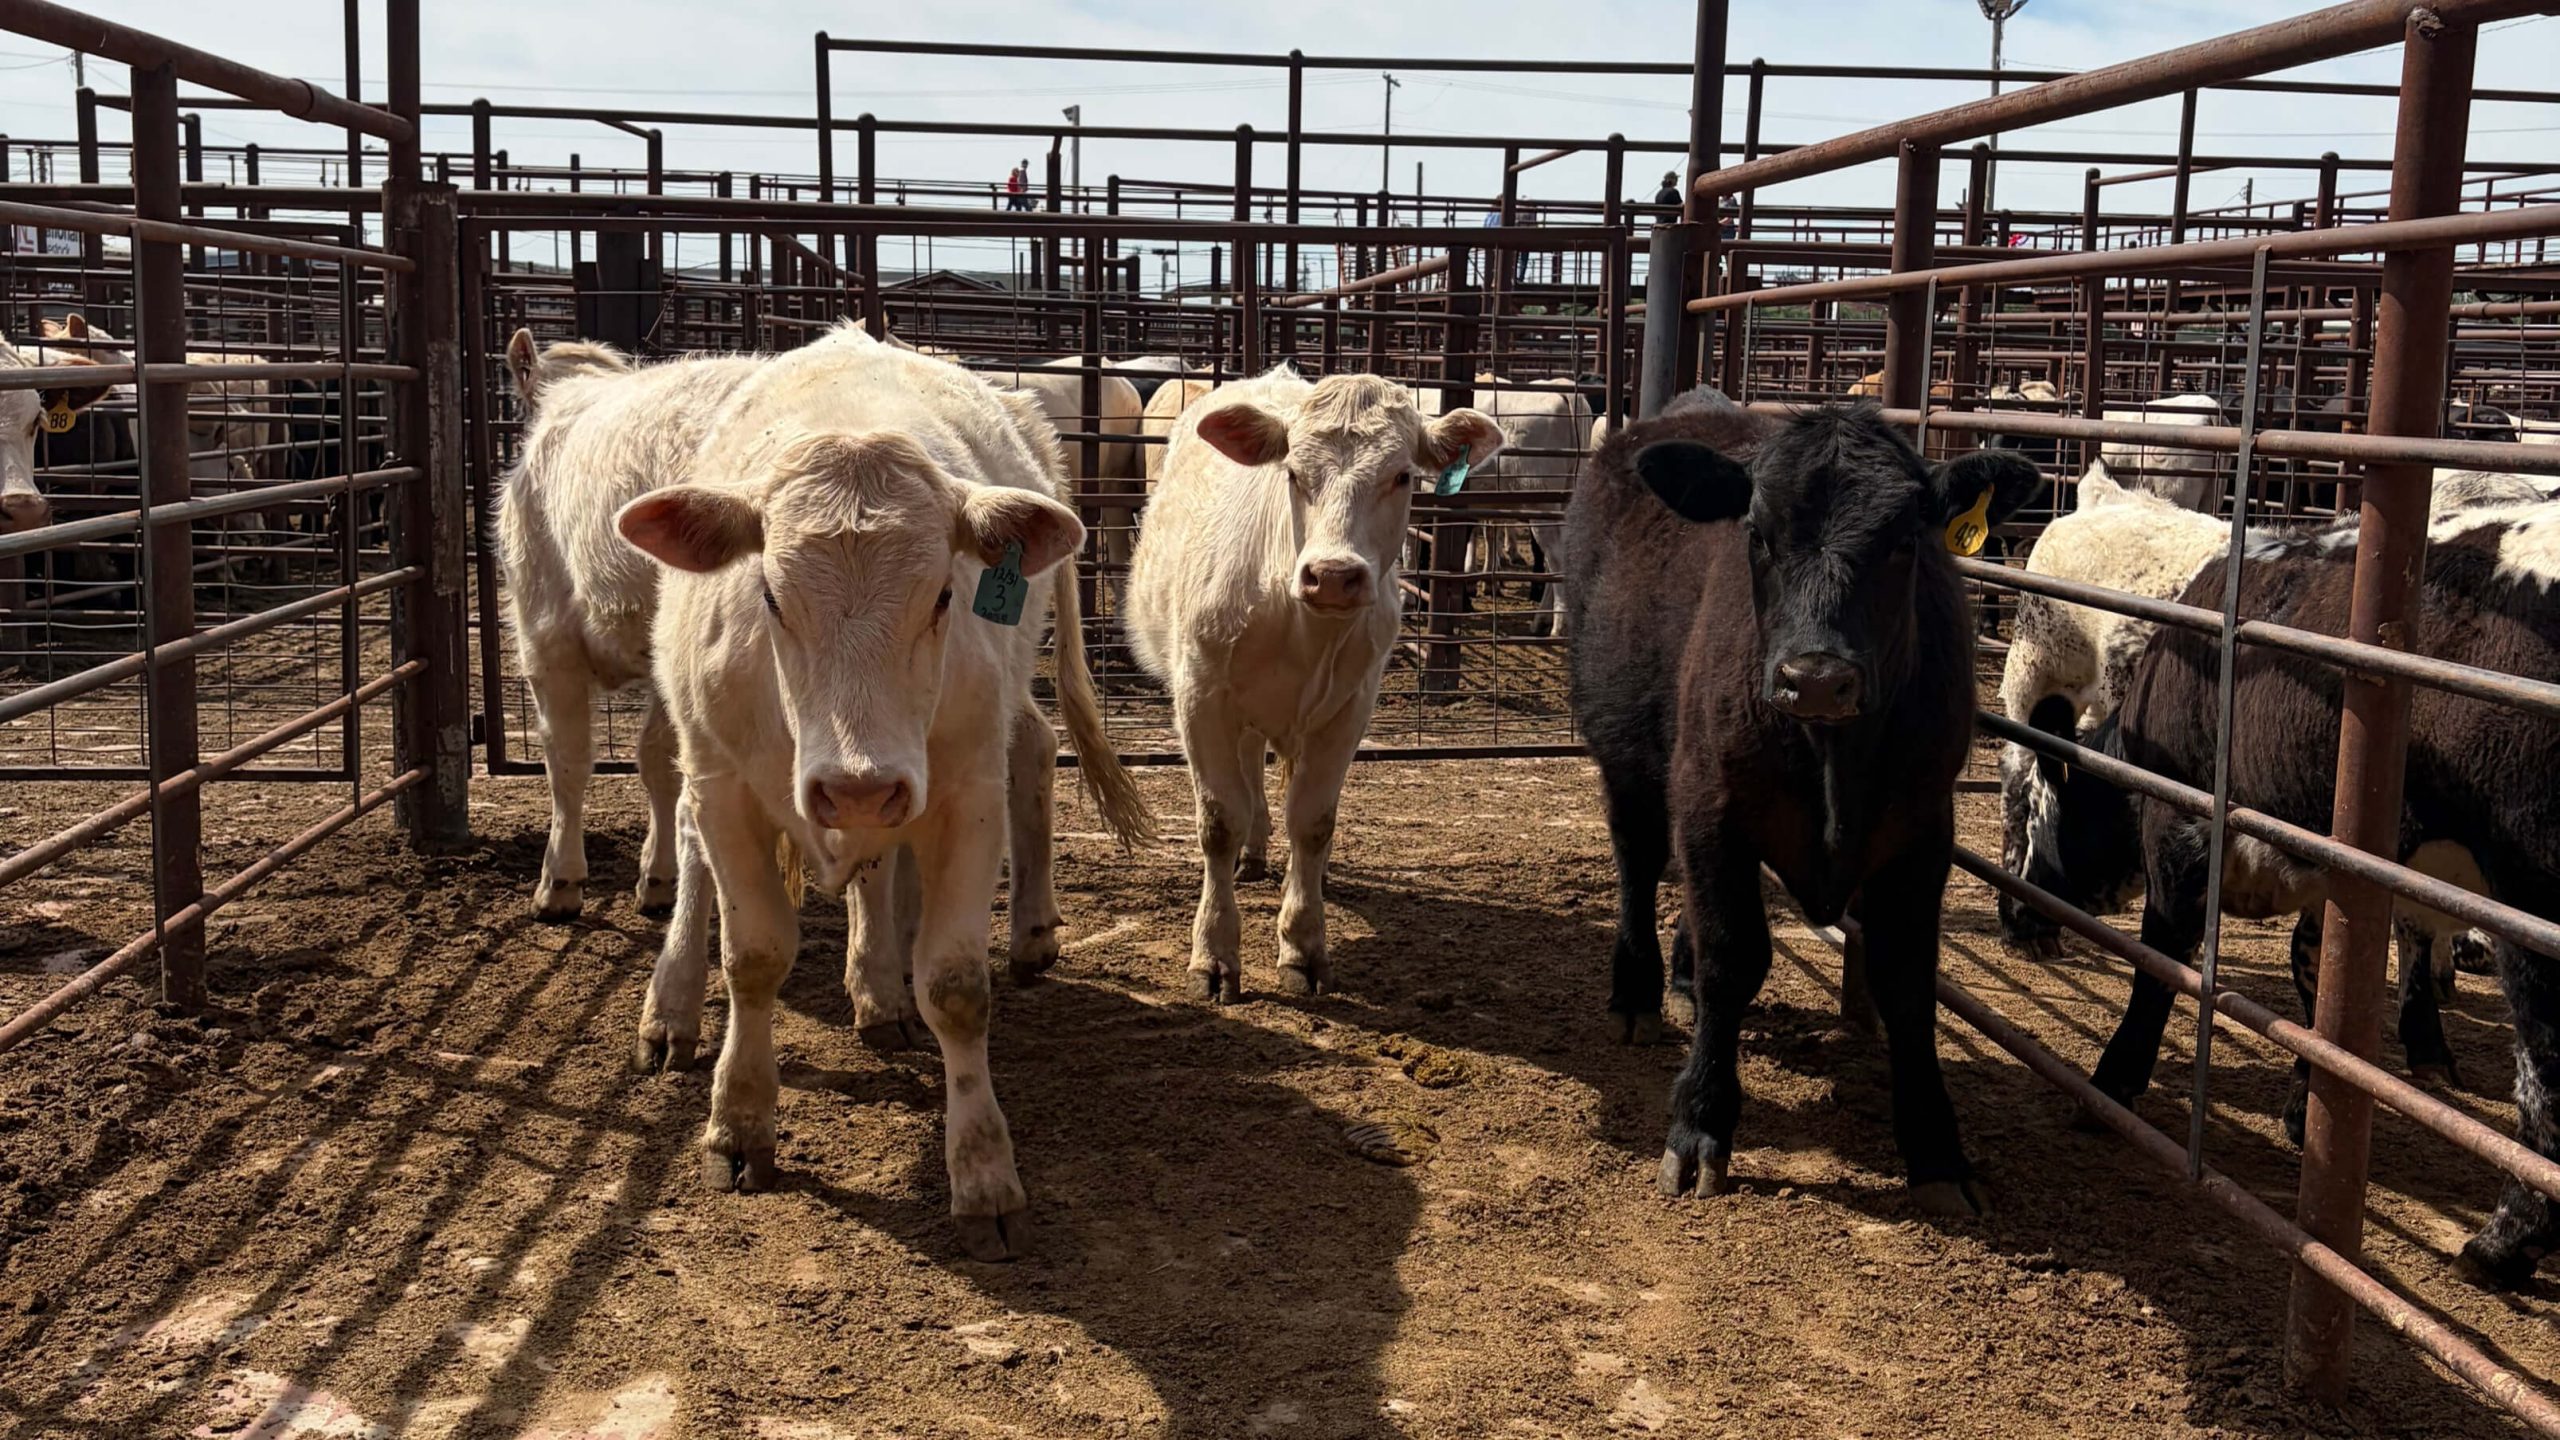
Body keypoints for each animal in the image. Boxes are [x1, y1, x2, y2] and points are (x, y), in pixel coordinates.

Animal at [617, 326, 1153, 1259]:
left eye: (943, 594)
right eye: (769, 595)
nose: (855, 783)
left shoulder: (963, 790)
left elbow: (956, 986)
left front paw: (984, 1172)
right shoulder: (727, 787)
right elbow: (752, 957)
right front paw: (739, 1123)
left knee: (998, 775)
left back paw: (906, 975)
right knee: (686, 840)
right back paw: (674, 1005)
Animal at [1124, 366, 1503, 1002]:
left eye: (1402, 476)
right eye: (1293, 473)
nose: (1331, 575)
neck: (1298, 624)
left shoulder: (1349, 709)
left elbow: (1313, 821)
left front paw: (1302, 944)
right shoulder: (1200, 697)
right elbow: (1218, 821)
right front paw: (1213, 954)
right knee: (1247, 777)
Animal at [1565, 389, 2041, 1217]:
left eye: (1904, 538)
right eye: (1757, 533)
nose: (1815, 679)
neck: (1830, 757)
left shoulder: (1923, 833)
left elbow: (1907, 981)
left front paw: (1937, 1150)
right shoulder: (1710, 802)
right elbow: (1734, 957)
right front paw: (1700, 1125)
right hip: (1625, 753)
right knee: (1638, 860)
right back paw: (1638, 990)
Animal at [2017, 495, 2560, 1288]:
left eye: (2033, 811)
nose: (2018, 915)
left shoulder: (2180, 834)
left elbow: (2160, 965)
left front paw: (2112, 1083)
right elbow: (2316, 981)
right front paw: (2310, 1104)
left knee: (2545, 1074)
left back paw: (2504, 1241)